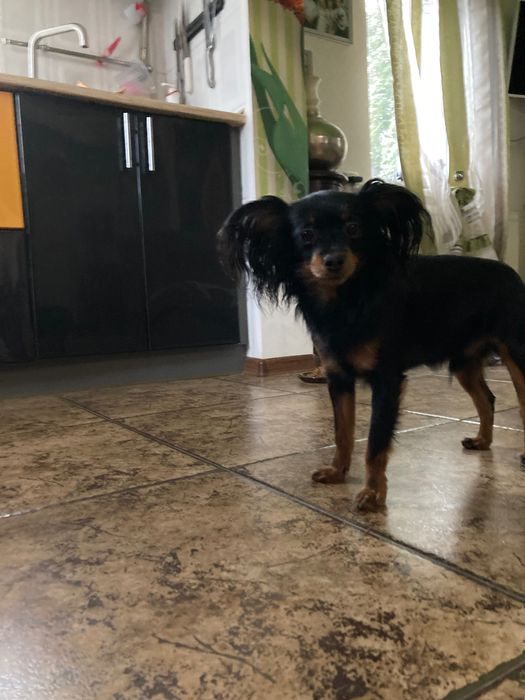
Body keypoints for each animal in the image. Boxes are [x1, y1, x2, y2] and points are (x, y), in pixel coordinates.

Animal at [218, 179, 525, 509]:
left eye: (353, 228)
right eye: (306, 234)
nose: (334, 261)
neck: (348, 300)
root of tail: (511, 272)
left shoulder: (386, 379)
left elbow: (376, 442)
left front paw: (373, 493)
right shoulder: (338, 378)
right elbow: (342, 432)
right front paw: (337, 472)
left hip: (516, 354)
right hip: (464, 362)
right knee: (487, 399)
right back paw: (483, 441)